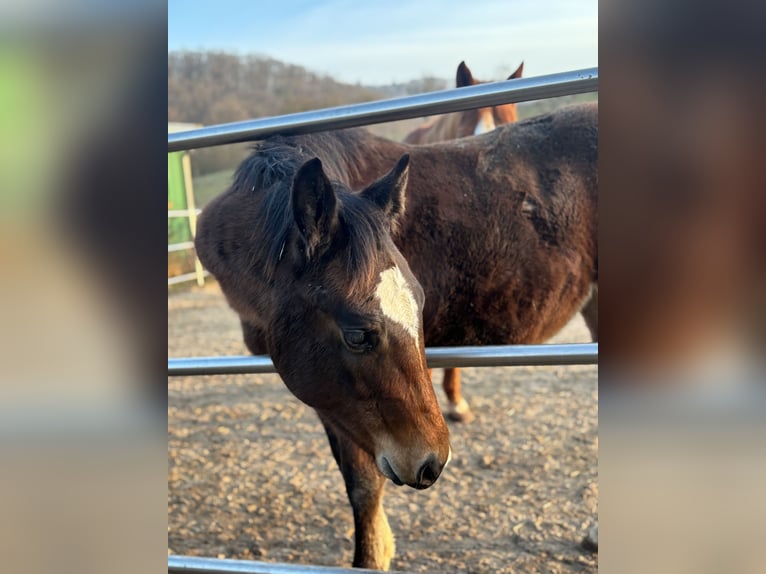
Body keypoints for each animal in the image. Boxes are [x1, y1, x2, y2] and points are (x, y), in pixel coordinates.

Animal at [195, 102, 598, 570]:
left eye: (420, 303)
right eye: (357, 335)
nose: (432, 462)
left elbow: (365, 484)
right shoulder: (331, 396)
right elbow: (360, 482)